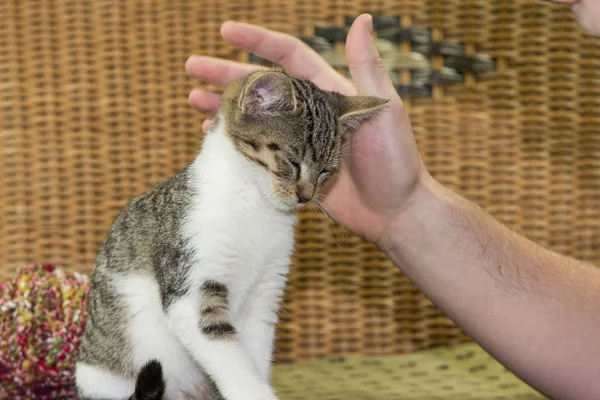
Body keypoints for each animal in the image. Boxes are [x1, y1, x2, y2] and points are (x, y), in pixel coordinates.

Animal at [75, 69, 386, 400]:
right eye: (292, 161)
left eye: (326, 171)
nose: (306, 196)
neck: (254, 205)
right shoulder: (192, 286)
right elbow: (231, 359)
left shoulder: (264, 294)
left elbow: (254, 355)